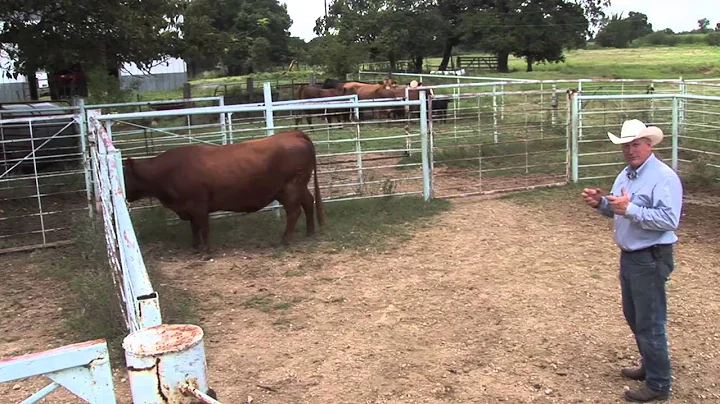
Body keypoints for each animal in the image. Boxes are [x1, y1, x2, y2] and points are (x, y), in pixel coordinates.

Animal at [122, 130, 325, 259]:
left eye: (124, 175)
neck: (169, 171)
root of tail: (293, 133)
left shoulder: (198, 205)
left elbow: (203, 228)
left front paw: (206, 252)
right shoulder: (189, 208)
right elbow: (194, 228)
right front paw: (195, 247)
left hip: (291, 187)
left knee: (294, 211)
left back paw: (284, 240)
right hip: (295, 188)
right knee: (308, 202)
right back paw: (309, 233)